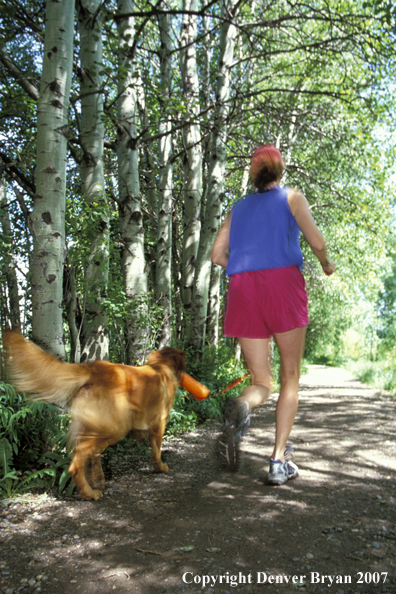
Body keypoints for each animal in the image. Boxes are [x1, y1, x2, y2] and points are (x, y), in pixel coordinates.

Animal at [3, 330, 186, 498]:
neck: (161, 366)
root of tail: (93, 369)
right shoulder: (159, 422)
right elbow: (156, 450)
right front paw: (160, 467)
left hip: (95, 425)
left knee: (92, 453)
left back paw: (97, 481)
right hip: (116, 426)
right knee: (79, 458)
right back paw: (89, 492)